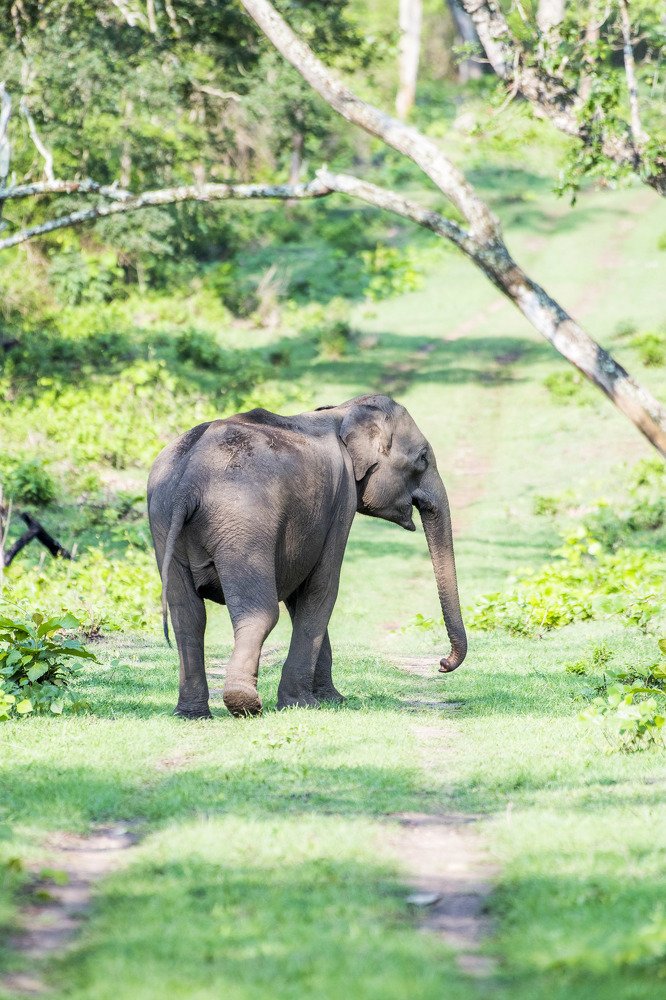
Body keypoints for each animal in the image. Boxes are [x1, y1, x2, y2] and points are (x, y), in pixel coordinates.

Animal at [147, 394, 467, 718]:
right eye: (422, 459)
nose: (442, 664)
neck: (341, 412)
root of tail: (190, 479)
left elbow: (299, 595)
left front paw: (332, 700)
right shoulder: (342, 500)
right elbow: (321, 588)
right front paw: (302, 703)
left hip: (163, 514)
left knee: (187, 616)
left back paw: (192, 714)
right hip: (244, 521)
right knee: (259, 613)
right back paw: (244, 704)